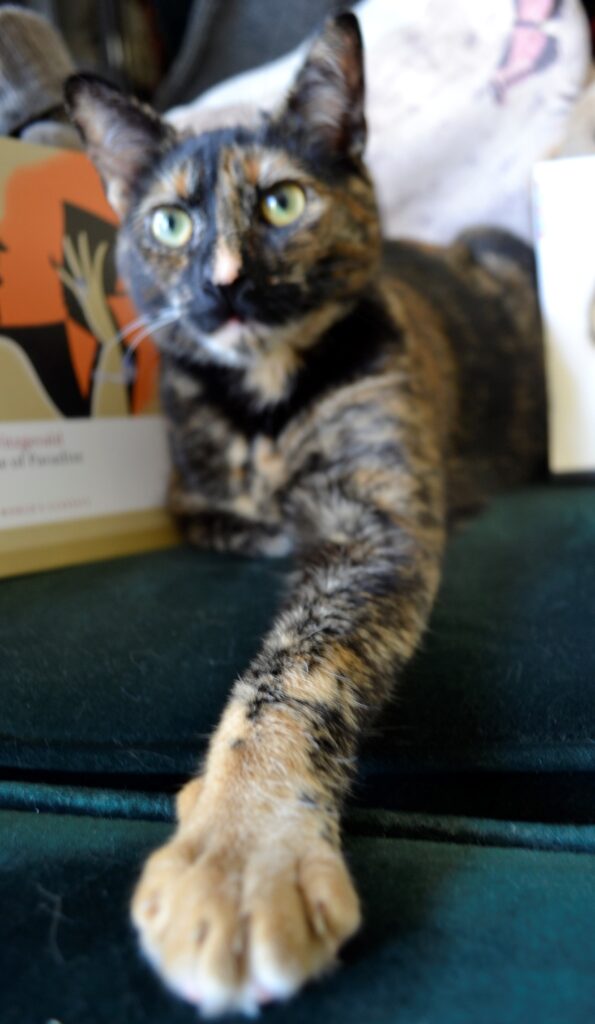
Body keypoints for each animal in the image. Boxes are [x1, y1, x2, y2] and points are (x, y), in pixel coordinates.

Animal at [65, 14, 544, 1015]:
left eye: (282, 203)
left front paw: (239, 858)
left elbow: (297, 670)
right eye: (169, 221)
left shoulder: (378, 523)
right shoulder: (195, 505)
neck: (263, 408)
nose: (222, 282)